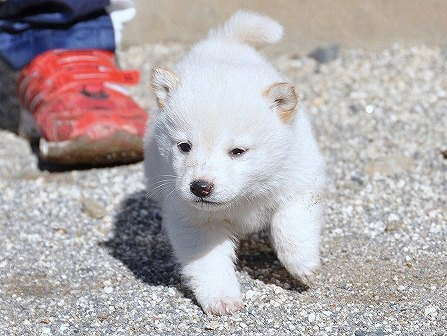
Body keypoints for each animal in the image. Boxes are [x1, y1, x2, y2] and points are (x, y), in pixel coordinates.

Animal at [145, 10, 328, 316]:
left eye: (237, 151)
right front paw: (221, 299)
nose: (200, 187)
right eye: (184, 146)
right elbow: (208, 261)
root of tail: (224, 42)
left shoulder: (299, 180)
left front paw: (302, 264)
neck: (244, 196)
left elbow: (289, 223)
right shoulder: (194, 219)